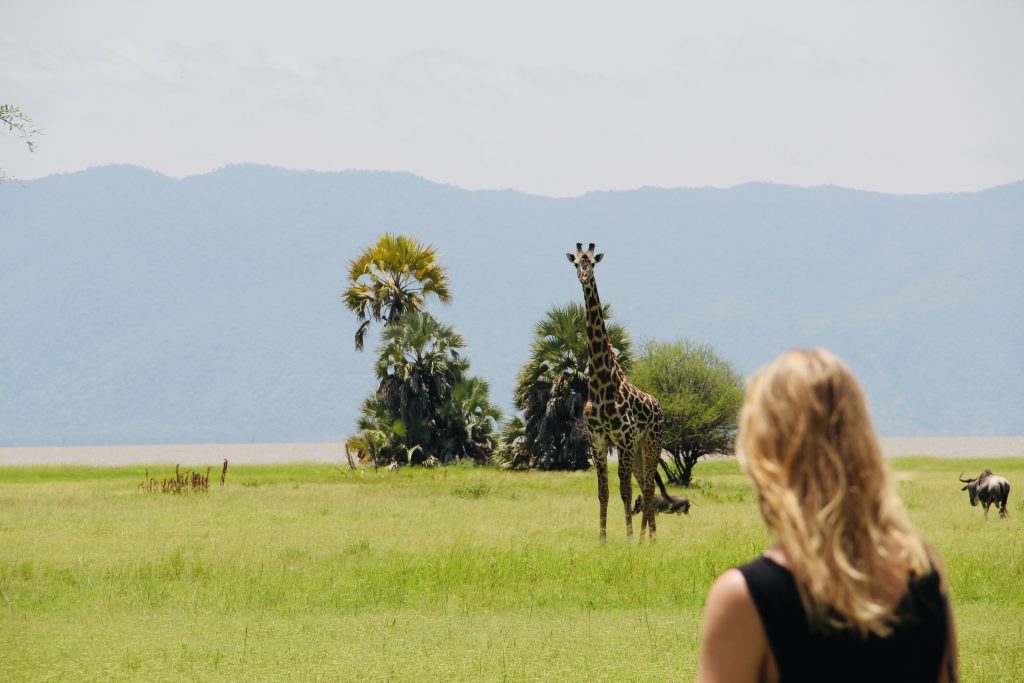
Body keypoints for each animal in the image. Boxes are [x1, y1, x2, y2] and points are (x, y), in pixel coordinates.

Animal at [565, 242, 667, 540]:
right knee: (645, 483)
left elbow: (625, 491)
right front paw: (602, 539)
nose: (584, 277)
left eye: (592, 263)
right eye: (575, 263)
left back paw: (650, 538)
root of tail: (658, 406)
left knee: (648, 486)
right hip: (639, 447)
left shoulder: (624, 438)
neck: (601, 382)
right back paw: (646, 538)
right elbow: (604, 492)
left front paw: (629, 538)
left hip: (651, 441)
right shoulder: (598, 439)